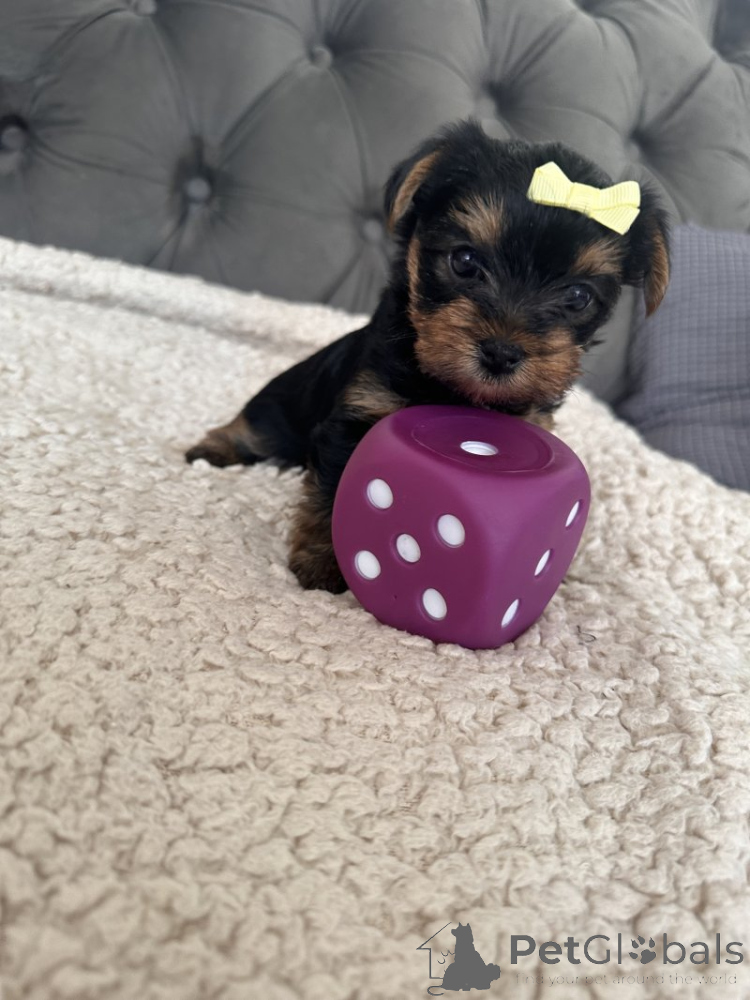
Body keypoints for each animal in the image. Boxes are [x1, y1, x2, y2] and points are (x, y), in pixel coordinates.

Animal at [186, 119, 670, 594]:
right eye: (464, 260)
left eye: (577, 297)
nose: (501, 353)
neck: (457, 390)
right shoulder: (360, 410)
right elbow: (335, 484)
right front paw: (323, 563)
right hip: (283, 407)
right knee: (255, 427)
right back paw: (212, 449)